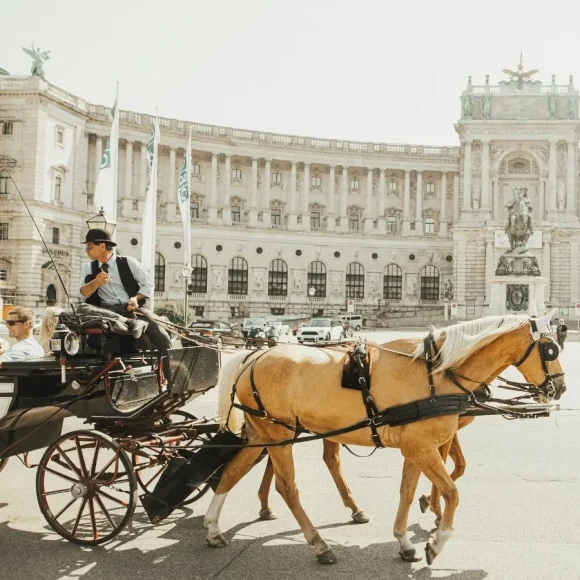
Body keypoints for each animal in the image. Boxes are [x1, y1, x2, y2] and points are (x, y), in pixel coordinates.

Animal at [206, 313, 565, 565]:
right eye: (550, 349)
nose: (560, 388)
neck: (436, 373)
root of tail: (252, 356)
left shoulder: (416, 448)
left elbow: (408, 491)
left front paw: (406, 540)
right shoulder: (423, 447)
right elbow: (452, 489)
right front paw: (437, 540)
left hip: (265, 432)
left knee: (233, 470)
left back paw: (213, 528)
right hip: (279, 432)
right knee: (288, 487)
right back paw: (319, 545)